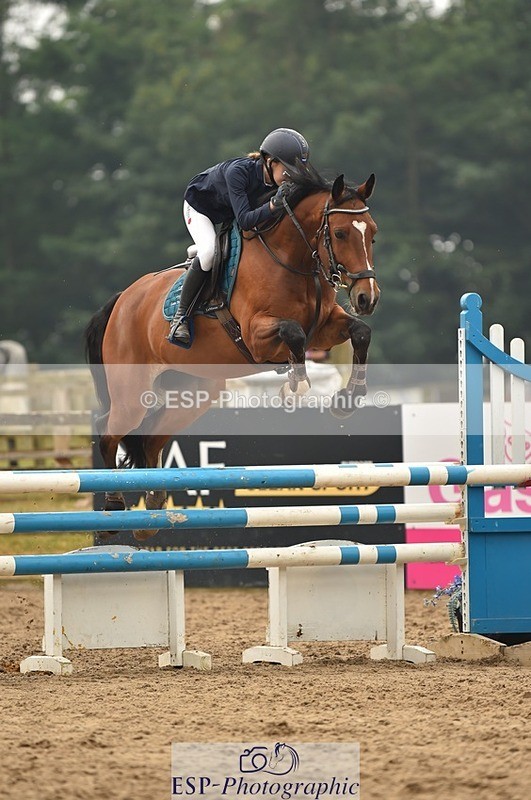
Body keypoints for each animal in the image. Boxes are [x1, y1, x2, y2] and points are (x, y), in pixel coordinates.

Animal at [85, 170, 380, 538]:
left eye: (373, 234)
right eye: (339, 233)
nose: (367, 297)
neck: (292, 258)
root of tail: (121, 301)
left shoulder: (324, 328)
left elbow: (361, 332)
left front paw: (348, 399)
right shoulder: (256, 336)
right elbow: (293, 333)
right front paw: (295, 388)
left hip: (192, 394)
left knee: (150, 440)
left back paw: (152, 510)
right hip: (132, 393)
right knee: (109, 432)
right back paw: (112, 510)